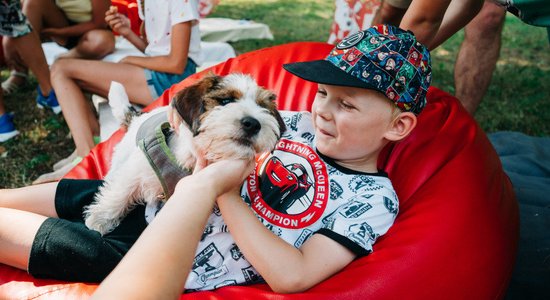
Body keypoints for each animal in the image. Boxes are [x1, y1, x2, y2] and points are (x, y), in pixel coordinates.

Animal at [85, 74, 288, 236]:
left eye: (263, 108)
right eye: (225, 101)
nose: (253, 124)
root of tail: (137, 117)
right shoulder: (137, 168)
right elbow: (121, 192)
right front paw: (100, 218)